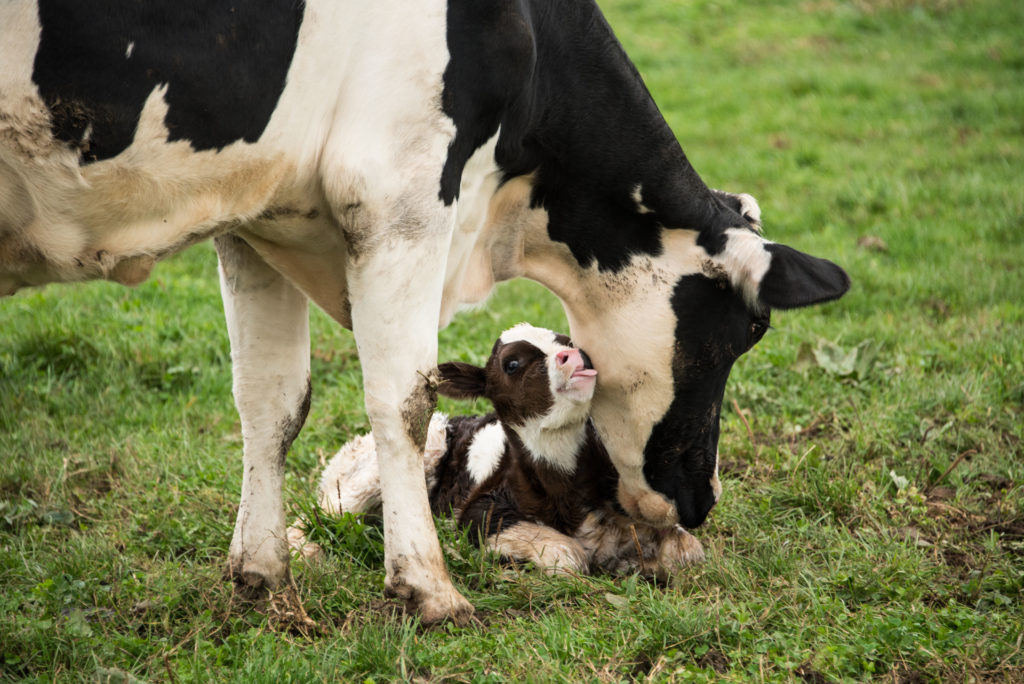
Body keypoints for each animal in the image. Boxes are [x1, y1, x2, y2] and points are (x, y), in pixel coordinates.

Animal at [299, 323, 704, 581]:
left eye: (567, 340)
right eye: (512, 363)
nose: (573, 356)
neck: (566, 492)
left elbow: (688, 549)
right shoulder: (476, 512)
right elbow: (568, 557)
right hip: (387, 466)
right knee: (320, 517)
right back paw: (306, 554)